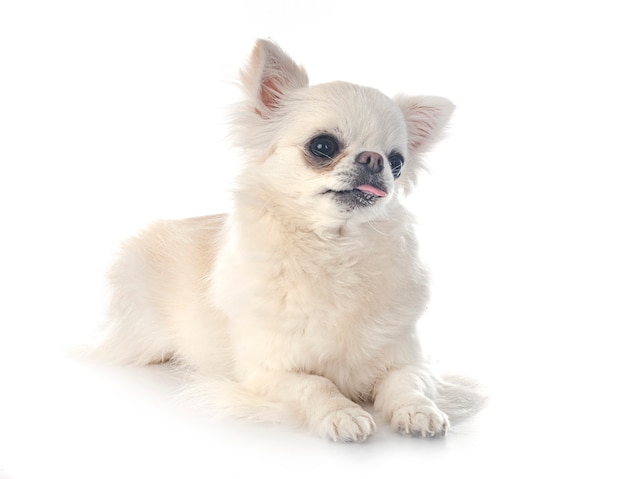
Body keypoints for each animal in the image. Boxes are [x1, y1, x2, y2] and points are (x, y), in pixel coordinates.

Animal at [94, 41, 482, 442]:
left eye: (397, 162)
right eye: (323, 146)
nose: (375, 159)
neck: (335, 251)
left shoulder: (410, 359)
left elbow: (407, 382)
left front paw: (419, 411)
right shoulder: (267, 372)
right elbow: (317, 384)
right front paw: (343, 413)